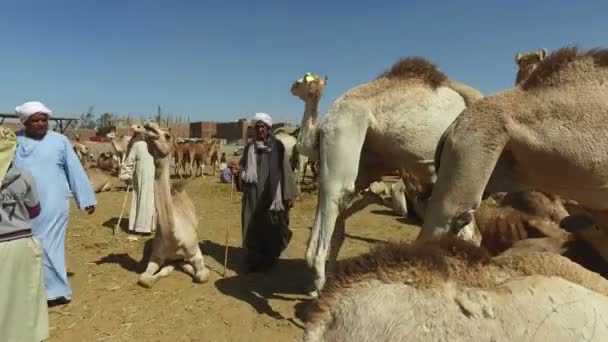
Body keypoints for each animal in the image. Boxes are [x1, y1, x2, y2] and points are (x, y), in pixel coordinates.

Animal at [138, 121, 211, 288]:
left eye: (167, 135)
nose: (148, 125)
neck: (173, 237)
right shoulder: (157, 256)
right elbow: (145, 278)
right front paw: (171, 267)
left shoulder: (195, 252)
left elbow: (202, 275)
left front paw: (187, 266)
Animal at [292, 58, 486, 294]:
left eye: (305, 80)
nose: (293, 85)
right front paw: (318, 281)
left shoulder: (345, 126)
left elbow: (337, 195)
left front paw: (319, 281)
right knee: (465, 229)